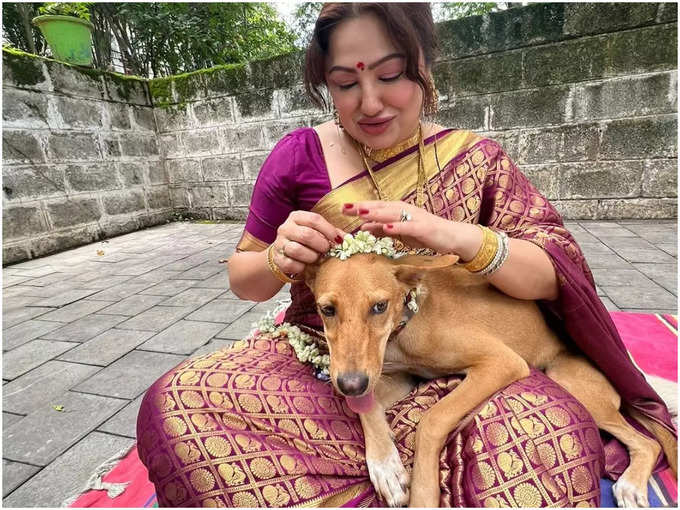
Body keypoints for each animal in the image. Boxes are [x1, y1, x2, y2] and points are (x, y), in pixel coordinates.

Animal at [306, 253, 676, 508]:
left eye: (379, 306)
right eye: (327, 310)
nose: (349, 383)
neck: (407, 323)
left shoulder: (501, 362)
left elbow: (433, 418)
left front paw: (423, 494)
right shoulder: (396, 377)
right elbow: (366, 408)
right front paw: (387, 468)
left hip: (573, 384)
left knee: (649, 442)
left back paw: (631, 485)